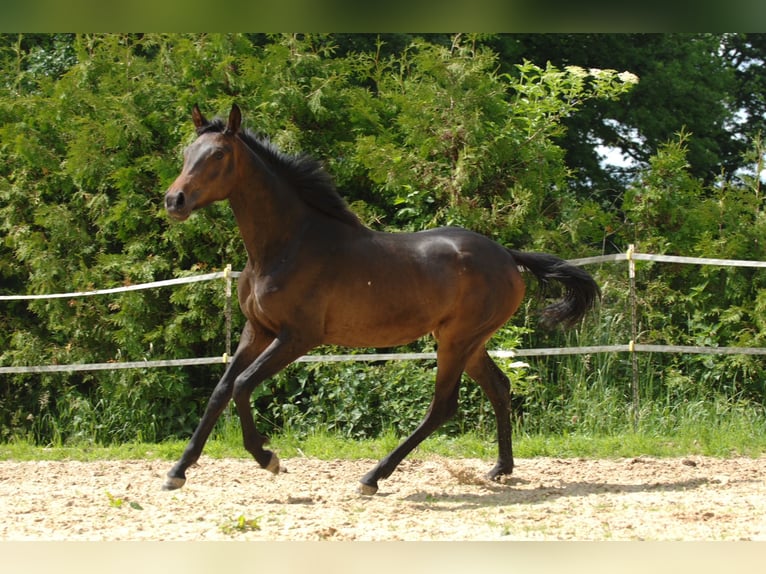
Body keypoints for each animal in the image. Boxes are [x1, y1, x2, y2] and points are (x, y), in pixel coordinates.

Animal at [165, 102, 604, 496]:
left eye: (219, 154)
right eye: (187, 153)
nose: (175, 201)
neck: (287, 244)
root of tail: (508, 256)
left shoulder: (297, 337)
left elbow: (241, 385)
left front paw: (268, 458)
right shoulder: (256, 330)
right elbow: (220, 391)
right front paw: (178, 471)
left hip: (456, 340)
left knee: (442, 407)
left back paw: (373, 477)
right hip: (469, 342)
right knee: (498, 386)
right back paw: (500, 469)